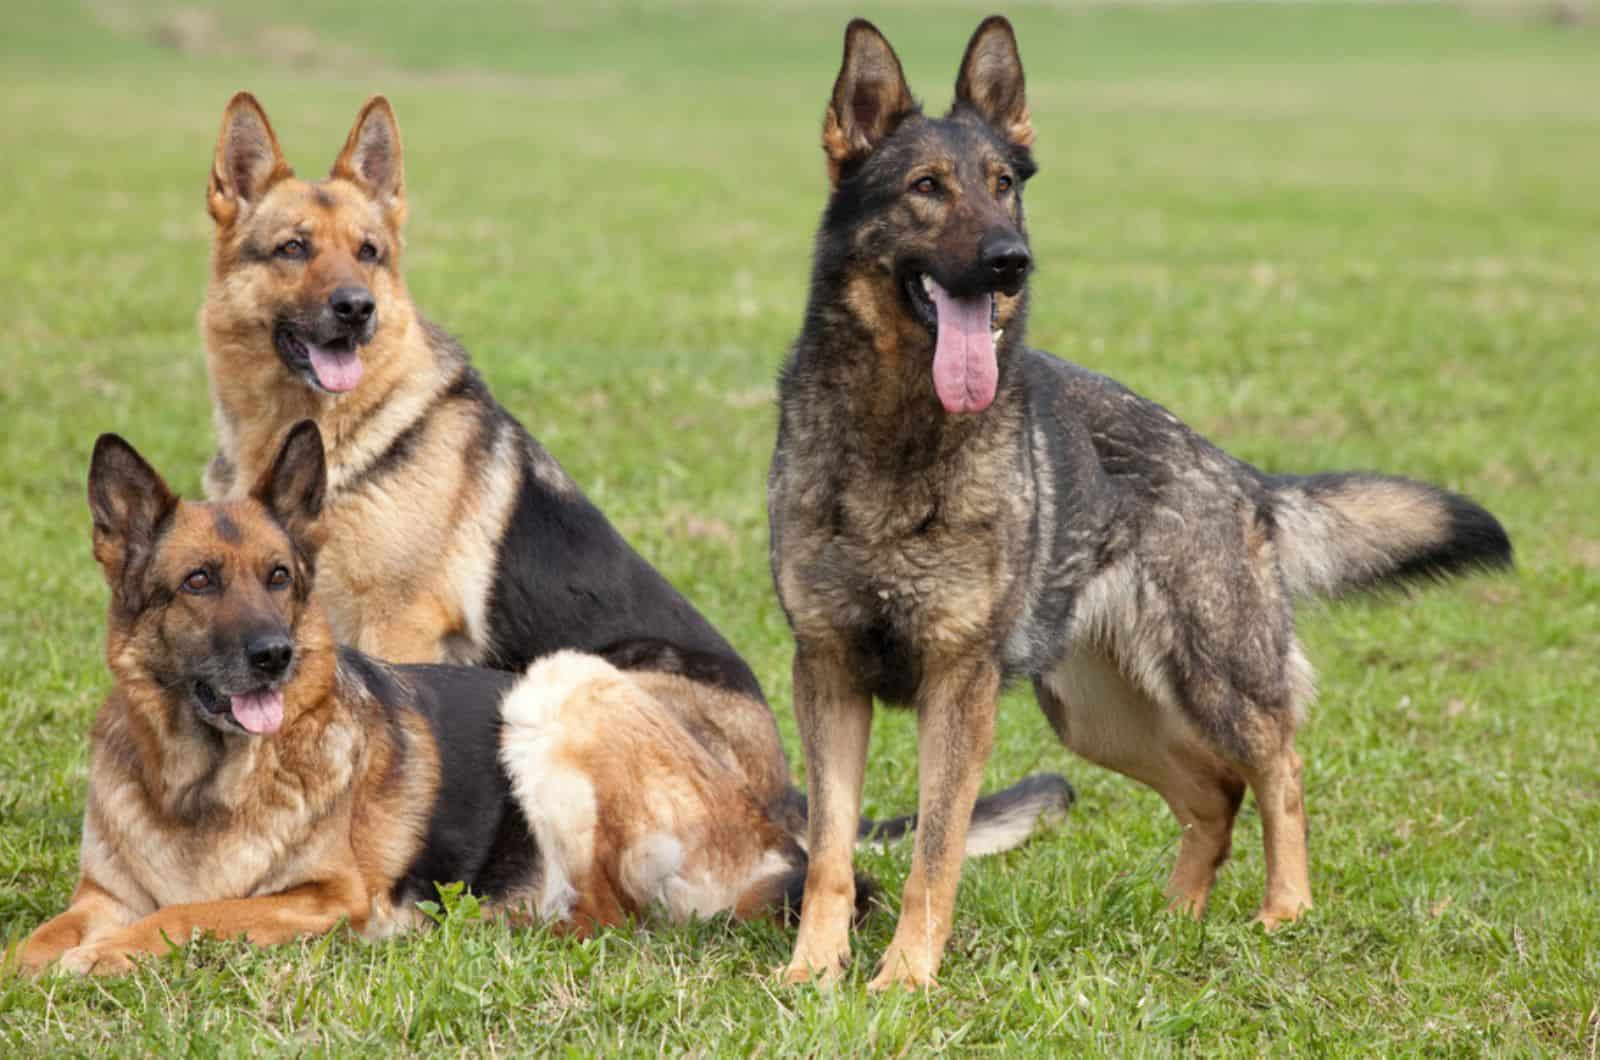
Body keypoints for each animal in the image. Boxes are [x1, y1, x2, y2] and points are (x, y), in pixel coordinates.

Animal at [18, 422, 902, 979]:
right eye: (199, 581)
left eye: (279, 578)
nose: (275, 656)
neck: (197, 786)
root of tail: (766, 819)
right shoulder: (102, 896)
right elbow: (29, 947)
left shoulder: (318, 897)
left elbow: (187, 915)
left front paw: (104, 956)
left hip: (558, 686)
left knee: (606, 918)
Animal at [768, 18, 1516, 999]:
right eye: (927, 187)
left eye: (1004, 185)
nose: (1011, 261)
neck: (899, 434)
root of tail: (1238, 472)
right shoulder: (827, 673)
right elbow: (829, 850)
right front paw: (813, 972)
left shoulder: (957, 689)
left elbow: (935, 853)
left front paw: (904, 980)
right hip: (1095, 717)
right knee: (1214, 795)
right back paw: (1175, 920)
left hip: (1214, 678)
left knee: (1279, 767)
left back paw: (1286, 908)